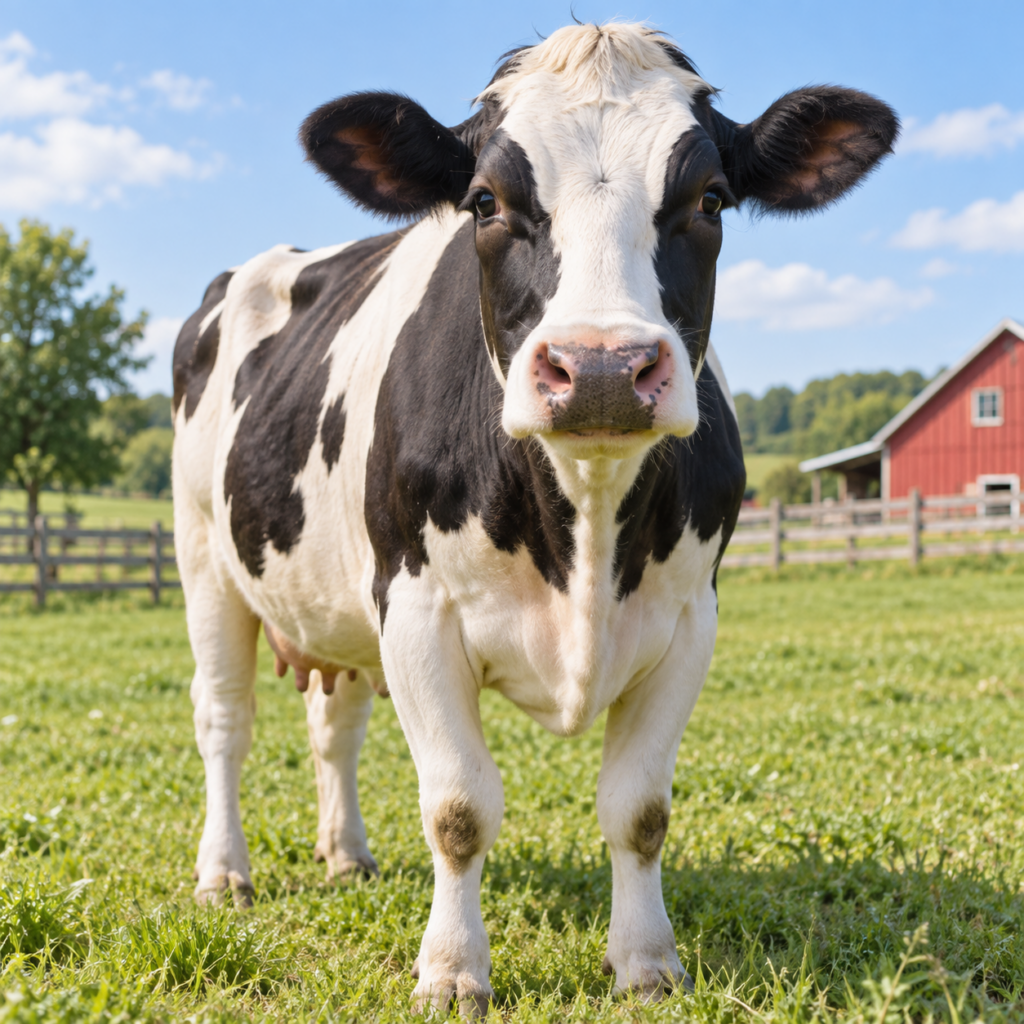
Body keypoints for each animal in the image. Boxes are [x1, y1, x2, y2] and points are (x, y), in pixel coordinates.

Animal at [172, 22, 897, 1015]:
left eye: (710, 199)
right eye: (485, 200)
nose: (600, 367)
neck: (583, 522)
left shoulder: (688, 621)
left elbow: (639, 808)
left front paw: (647, 963)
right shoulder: (417, 609)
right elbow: (458, 807)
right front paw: (451, 973)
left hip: (336, 603)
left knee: (335, 724)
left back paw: (347, 855)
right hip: (205, 560)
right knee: (225, 722)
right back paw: (223, 873)